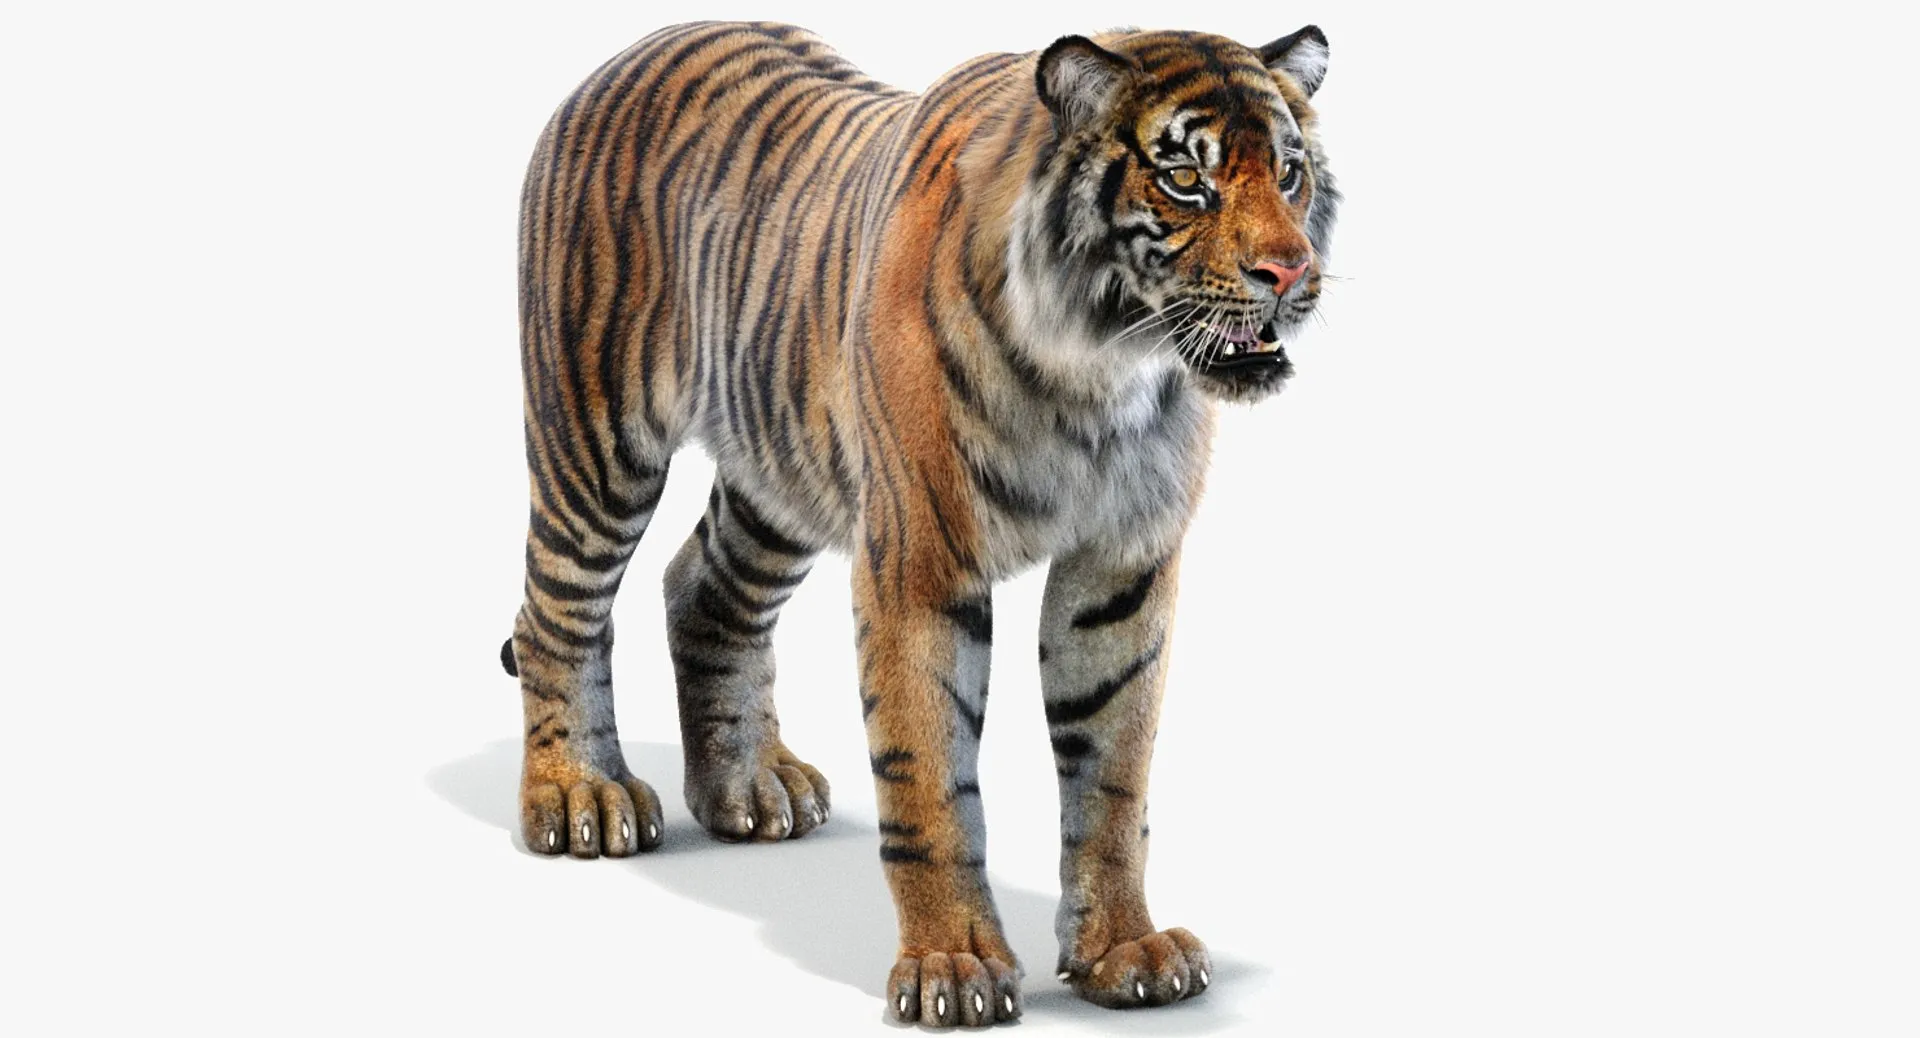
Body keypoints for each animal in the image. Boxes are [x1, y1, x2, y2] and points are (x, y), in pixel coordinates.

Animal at [500, 20, 1338, 1026]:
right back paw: (580, 796)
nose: (1291, 271)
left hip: (782, 474)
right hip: (596, 437)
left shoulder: (1122, 568)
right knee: (556, 613)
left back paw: (748, 788)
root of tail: (628, 52)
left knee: (700, 589)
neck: (1102, 370)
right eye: (1185, 178)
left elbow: (1112, 773)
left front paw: (1123, 953)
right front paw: (954, 967)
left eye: (1288, 172)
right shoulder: (919, 564)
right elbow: (929, 778)